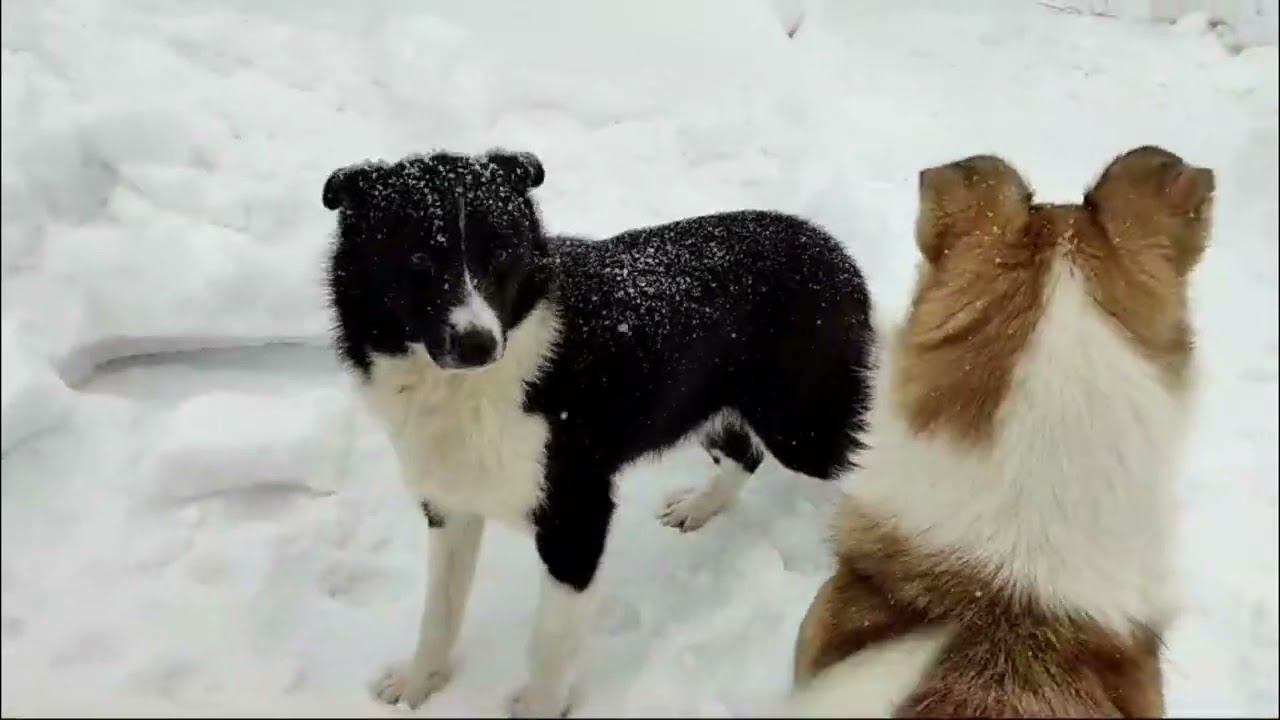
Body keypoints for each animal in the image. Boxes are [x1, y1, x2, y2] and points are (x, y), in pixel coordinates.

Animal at [322, 149, 875, 716]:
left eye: (502, 253)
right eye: (417, 259)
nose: (479, 344)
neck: (468, 387)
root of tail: (830, 246)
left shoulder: (576, 515)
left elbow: (548, 640)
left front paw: (538, 708)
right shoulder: (450, 504)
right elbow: (439, 612)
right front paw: (418, 682)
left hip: (803, 427)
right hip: (708, 403)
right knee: (744, 452)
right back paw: (700, 508)